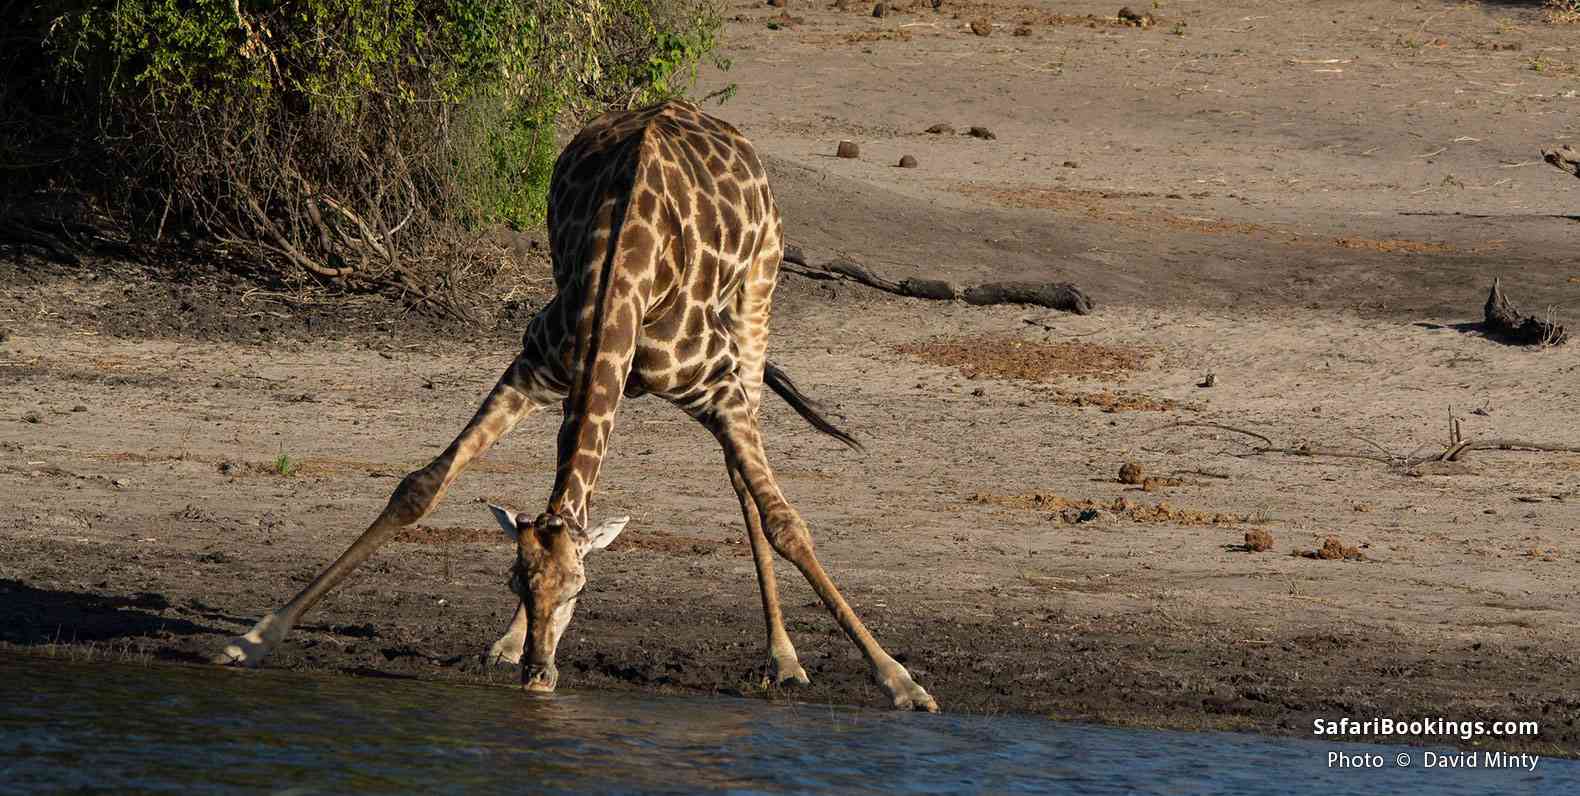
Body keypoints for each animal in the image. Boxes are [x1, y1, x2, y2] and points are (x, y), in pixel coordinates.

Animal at [214, 99, 939, 712]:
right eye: (515, 582)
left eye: (580, 591)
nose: (540, 677)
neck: (624, 284)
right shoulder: (539, 368)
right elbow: (421, 487)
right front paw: (256, 637)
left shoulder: (717, 389)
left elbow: (786, 523)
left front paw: (900, 681)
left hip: (756, 302)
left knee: (745, 484)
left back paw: (785, 658)